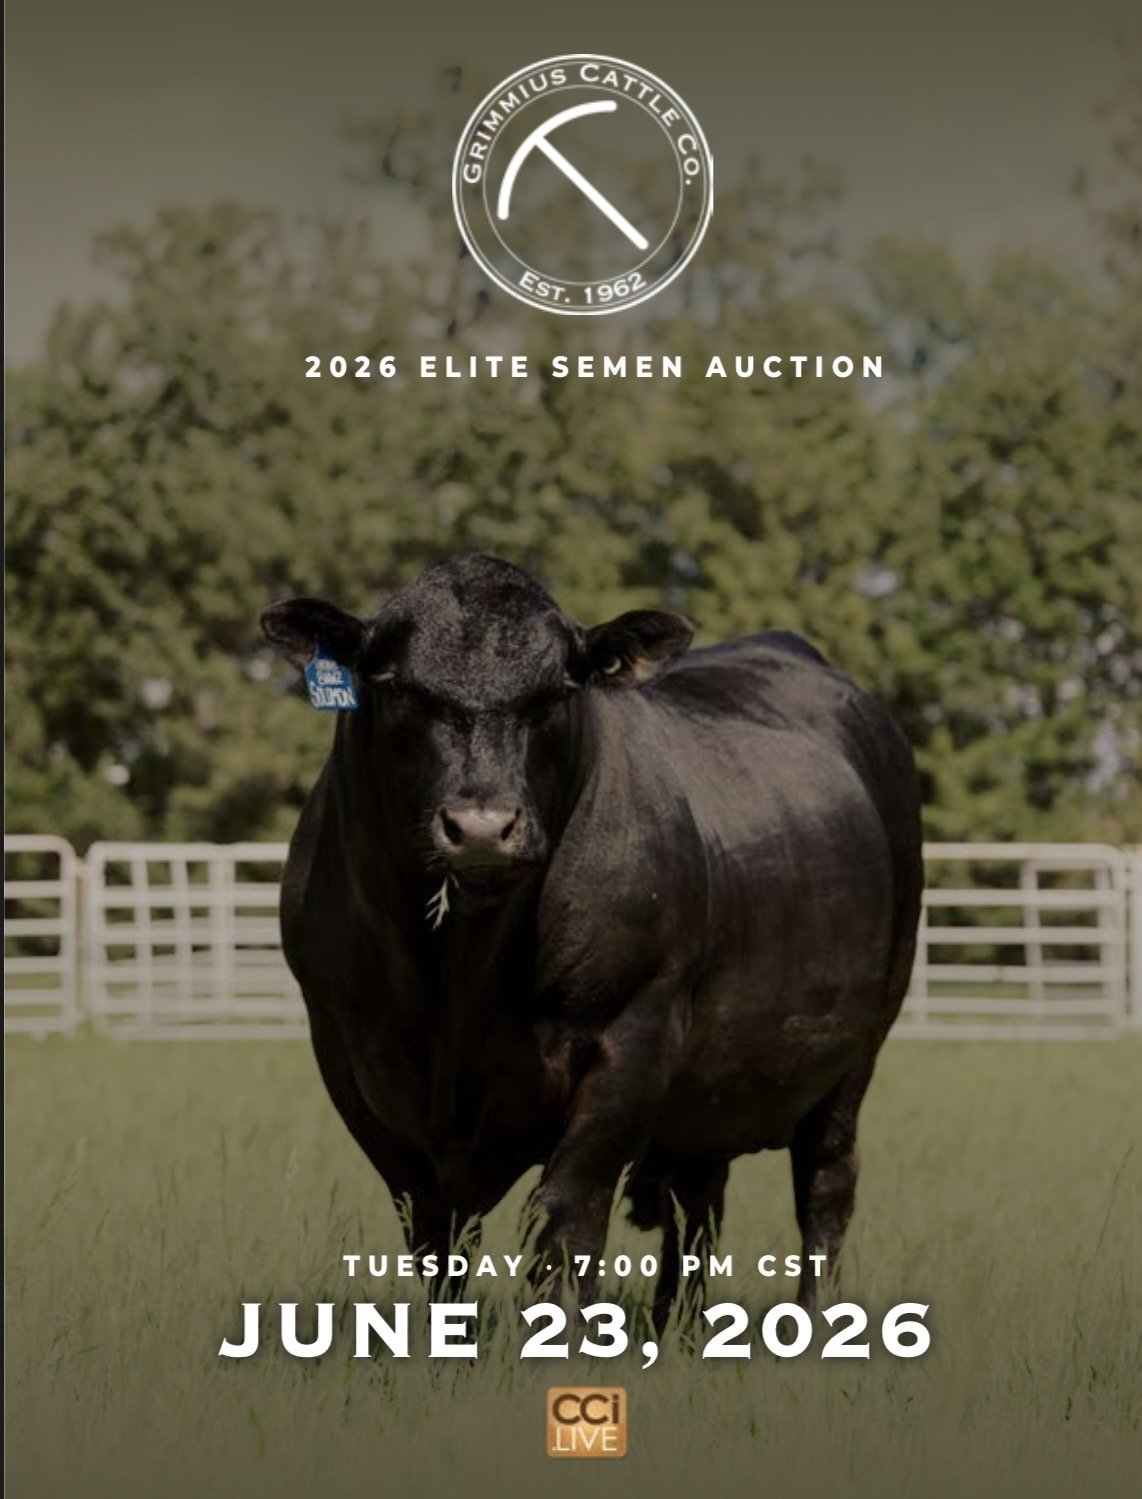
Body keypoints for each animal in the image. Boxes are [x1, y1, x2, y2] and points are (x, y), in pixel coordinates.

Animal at [261, 552, 922, 1329]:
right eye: (394, 682)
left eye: (561, 688)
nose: (482, 827)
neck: (457, 975)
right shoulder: (347, 1054)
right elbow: (435, 1234)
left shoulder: (632, 1035)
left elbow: (566, 1217)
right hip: (715, 1080)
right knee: (697, 1200)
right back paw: (677, 1325)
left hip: (858, 1046)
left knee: (824, 1184)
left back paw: (816, 1324)